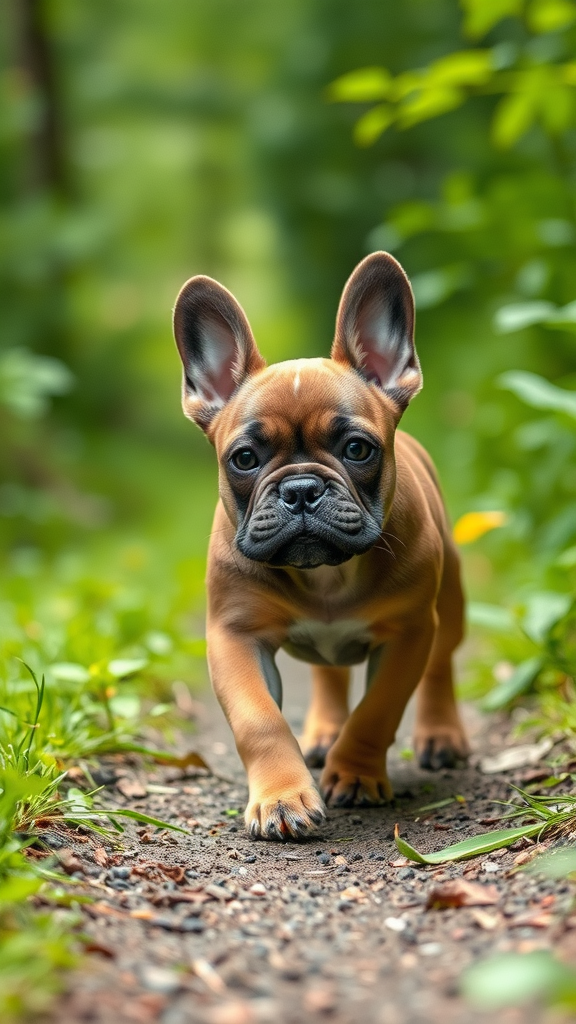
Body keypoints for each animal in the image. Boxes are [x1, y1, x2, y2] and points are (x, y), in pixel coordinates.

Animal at [172, 249, 469, 839]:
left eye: (357, 449)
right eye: (244, 459)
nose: (302, 489)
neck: (327, 577)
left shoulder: (408, 632)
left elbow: (378, 709)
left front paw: (355, 773)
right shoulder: (235, 637)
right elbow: (259, 721)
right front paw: (282, 798)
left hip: (450, 602)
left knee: (441, 663)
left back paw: (440, 735)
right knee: (329, 675)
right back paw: (323, 733)